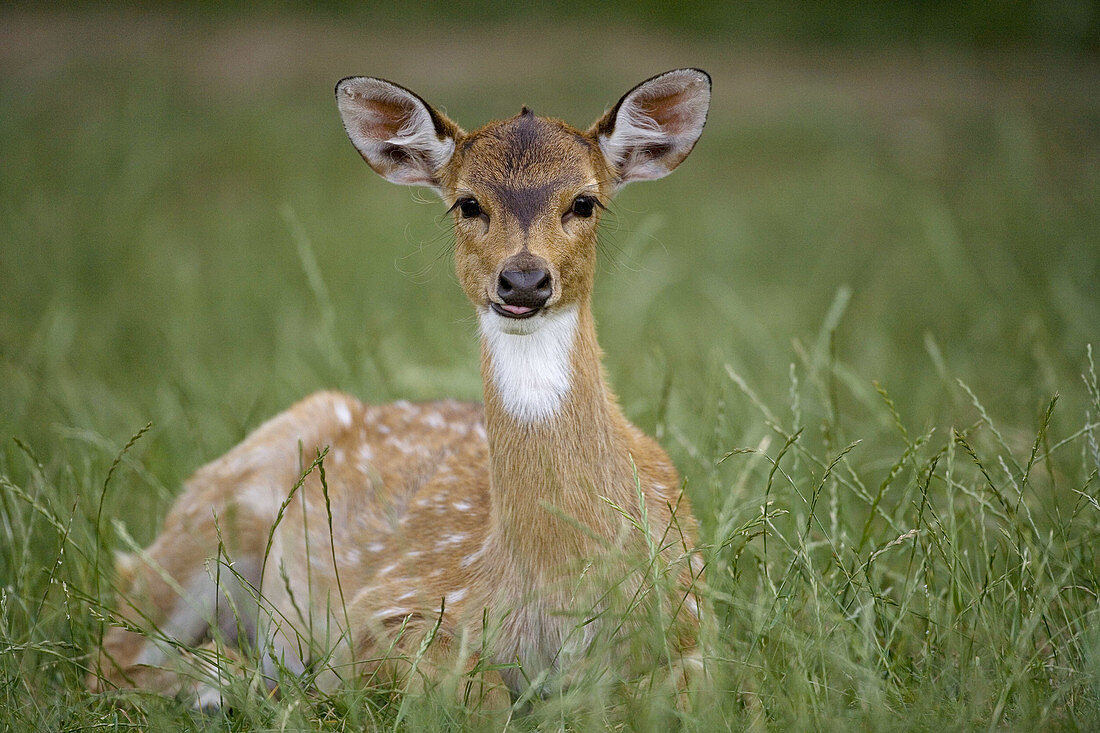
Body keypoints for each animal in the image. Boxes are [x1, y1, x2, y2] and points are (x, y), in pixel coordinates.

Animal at [92, 67, 712, 708]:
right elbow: (477, 693)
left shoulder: (691, 618)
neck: (553, 583)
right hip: (213, 512)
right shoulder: (391, 606)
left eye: (584, 202)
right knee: (112, 653)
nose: (523, 279)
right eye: (468, 203)